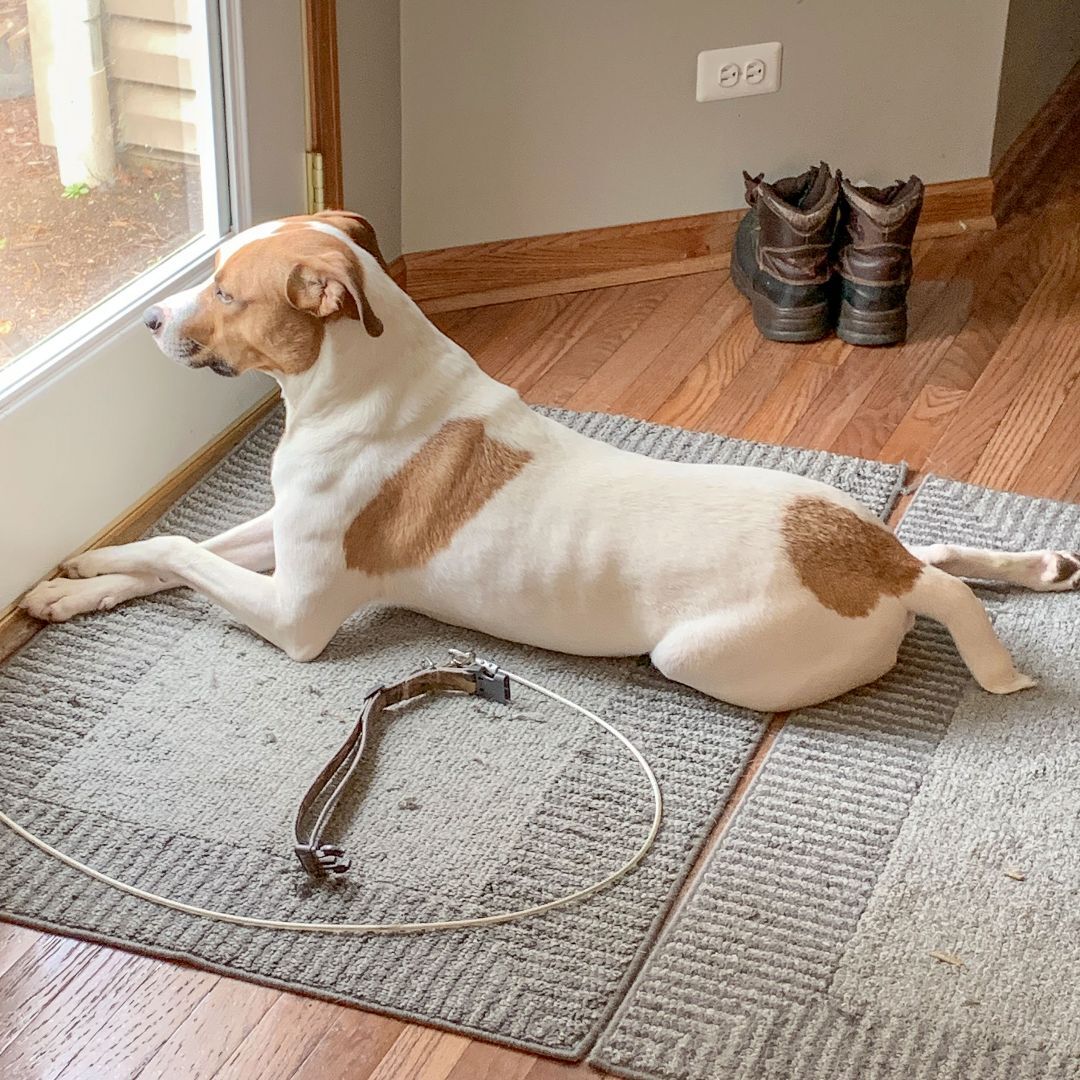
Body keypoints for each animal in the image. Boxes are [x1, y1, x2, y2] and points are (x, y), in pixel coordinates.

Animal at [21, 211, 1080, 712]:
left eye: (227, 293)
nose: (148, 320)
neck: (355, 378)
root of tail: (875, 565)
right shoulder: (278, 534)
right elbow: (172, 547)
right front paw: (74, 581)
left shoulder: (295, 614)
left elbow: (180, 555)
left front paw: (75, 580)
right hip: (839, 512)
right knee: (937, 554)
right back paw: (1033, 564)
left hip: (703, 654)